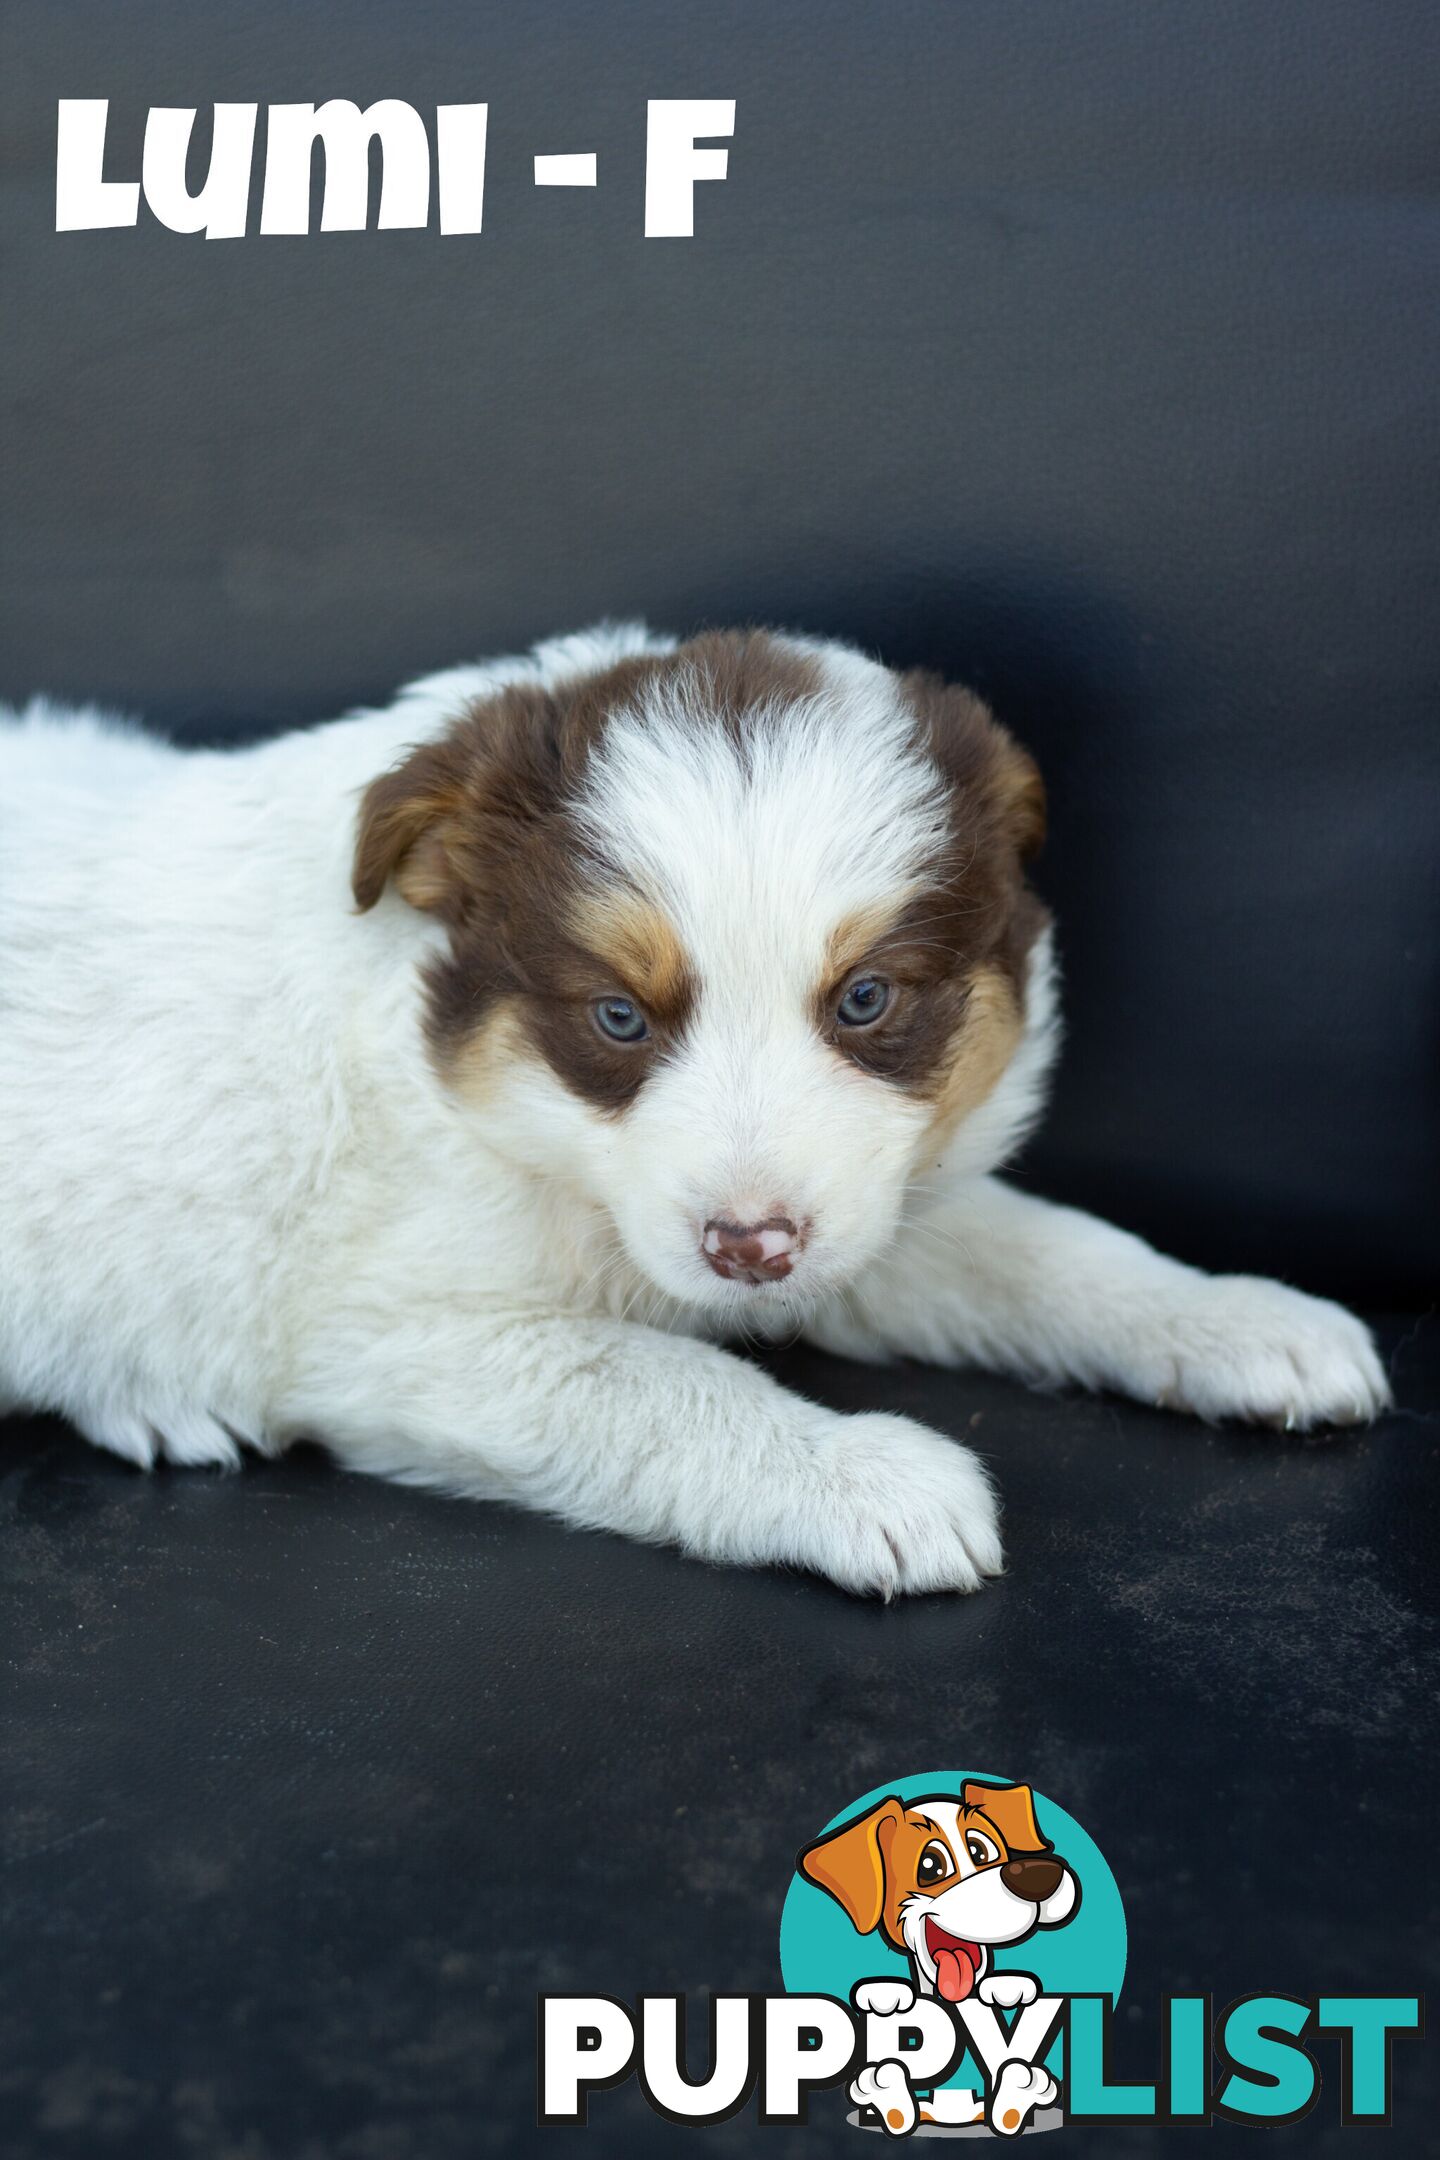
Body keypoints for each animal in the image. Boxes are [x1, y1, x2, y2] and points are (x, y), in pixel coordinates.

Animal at [0, 617, 1398, 1598]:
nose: (749, 1249)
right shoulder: (393, 1332)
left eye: (866, 999)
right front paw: (860, 1473)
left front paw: (1235, 1317)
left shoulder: (857, 1209)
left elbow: (1045, 1248)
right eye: (620, 1019)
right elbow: (658, 1382)